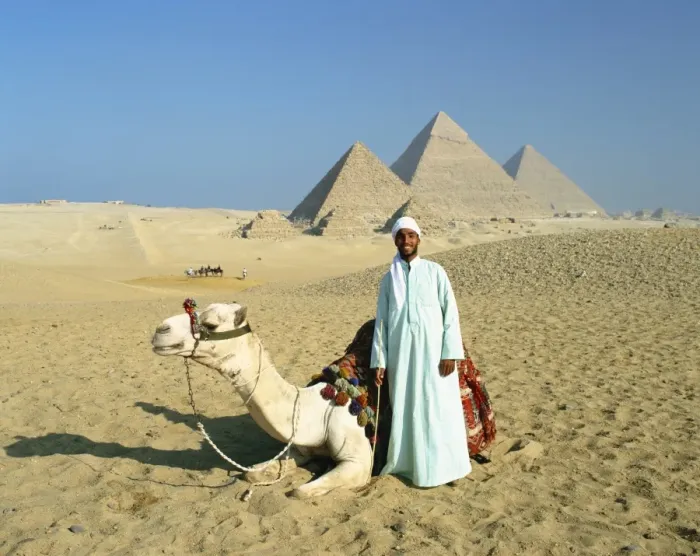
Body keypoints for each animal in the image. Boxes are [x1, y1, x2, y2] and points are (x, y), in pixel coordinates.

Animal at [151, 302, 372, 498]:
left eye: (211, 324)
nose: (161, 329)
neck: (319, 412)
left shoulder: (359, 462)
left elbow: (300, 491)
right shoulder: (298, 447)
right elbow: (253, 473)